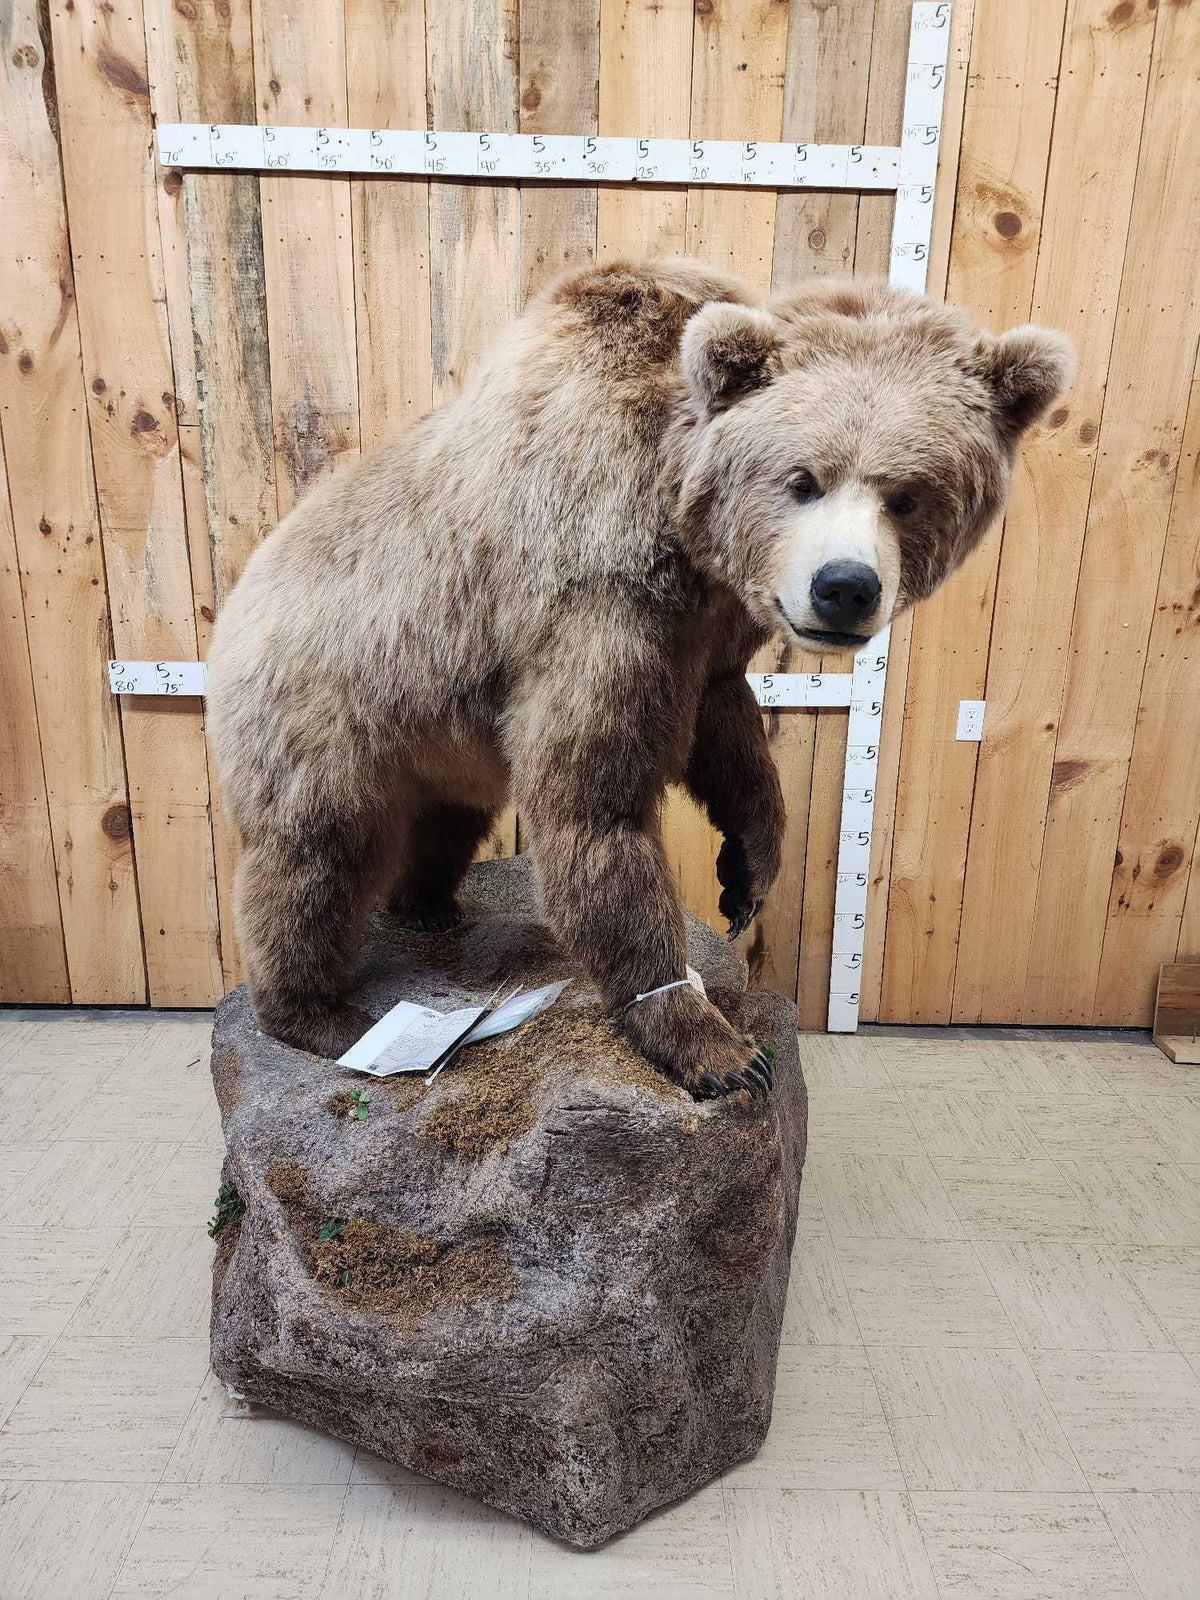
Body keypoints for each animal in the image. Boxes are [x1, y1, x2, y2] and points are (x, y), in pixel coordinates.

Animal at [206, 257, 1072, 1098]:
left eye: (908, 495)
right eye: (803, 479)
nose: (844, 587)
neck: (678, 516)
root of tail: (237, 593)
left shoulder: (708, 629)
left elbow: (731, 738)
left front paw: (745, 877)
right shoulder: (596, 595)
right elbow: (598, 806)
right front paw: (713, 1044)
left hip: (438, 731)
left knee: (449, 817)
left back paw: (427, 908)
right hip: (328, 699)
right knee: (316, 855)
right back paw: (317, 1013)